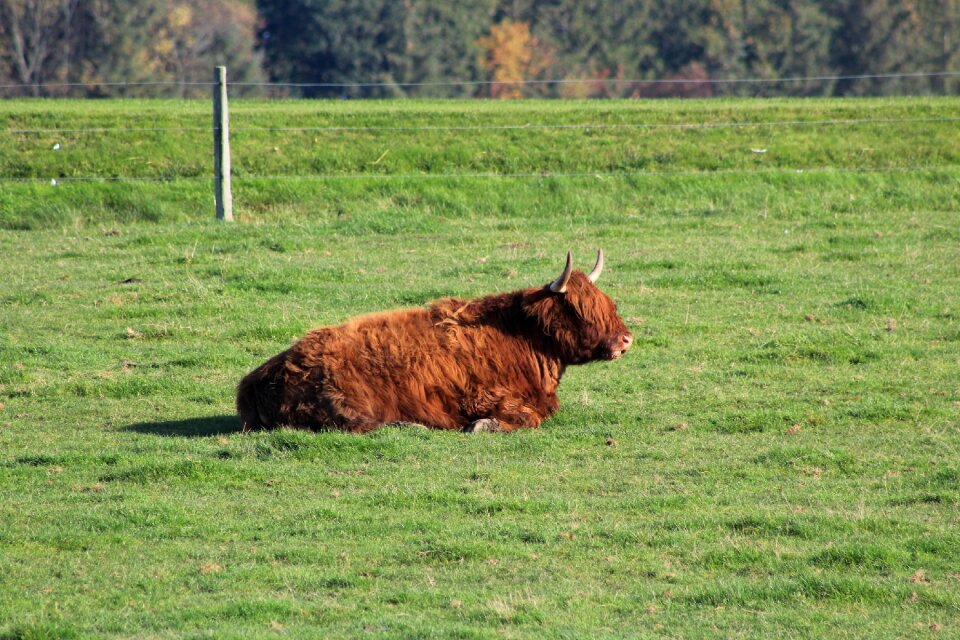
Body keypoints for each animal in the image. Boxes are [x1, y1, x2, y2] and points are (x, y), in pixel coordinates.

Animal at [237, 248, 632, 432]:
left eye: (607, 303)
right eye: (580, 309)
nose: (626, 339)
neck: (522, 335)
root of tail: (258, 377)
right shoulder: (485, 396)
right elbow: (528, 416)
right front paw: (483, 426)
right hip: (346, 398)